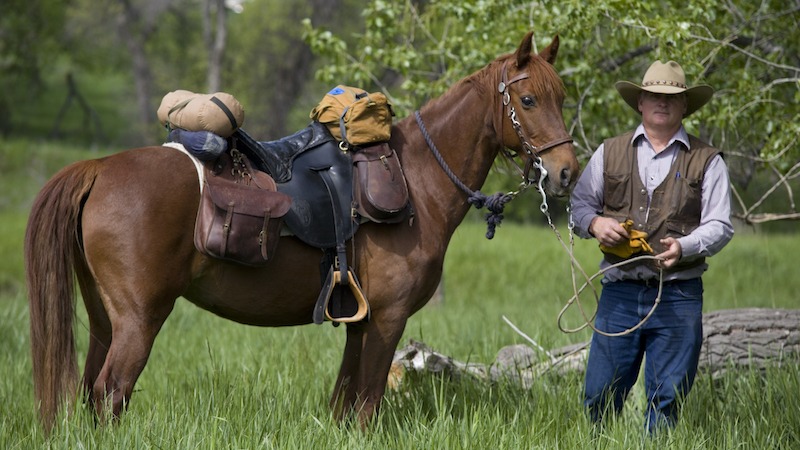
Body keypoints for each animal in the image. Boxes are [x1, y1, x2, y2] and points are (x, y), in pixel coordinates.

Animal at [25, 32, 579, 432]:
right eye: (529, 99)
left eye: (561, 97)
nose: (567, 172)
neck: (415, 178)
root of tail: (99, 168)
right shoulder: (388, 320)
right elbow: (366, 406)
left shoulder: (360, 321)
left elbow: (345, 403)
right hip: (140, 320)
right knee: (110, 394)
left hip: (105, 320)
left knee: (91, 394)